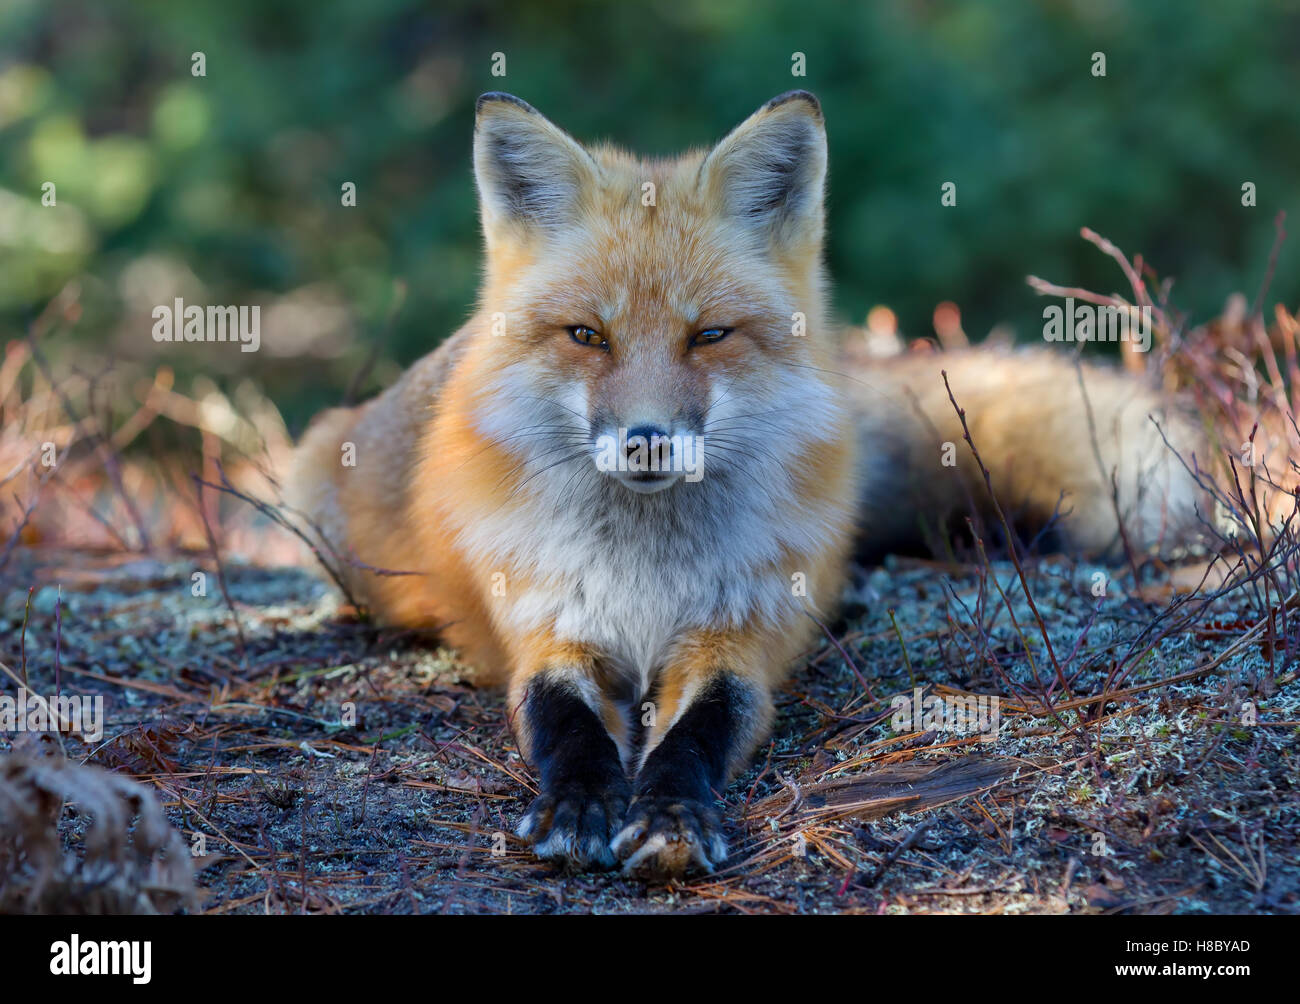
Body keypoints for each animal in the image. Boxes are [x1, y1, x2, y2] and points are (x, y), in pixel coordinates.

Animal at [287, 91, 1209, 878]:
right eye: (587, 336)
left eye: (709, 336)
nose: (648, 443)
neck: (646, 575)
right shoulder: (549, 634)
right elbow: (566, 726)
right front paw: (580, 807)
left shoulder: (739, 639)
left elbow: (699, 730)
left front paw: (669, 816)